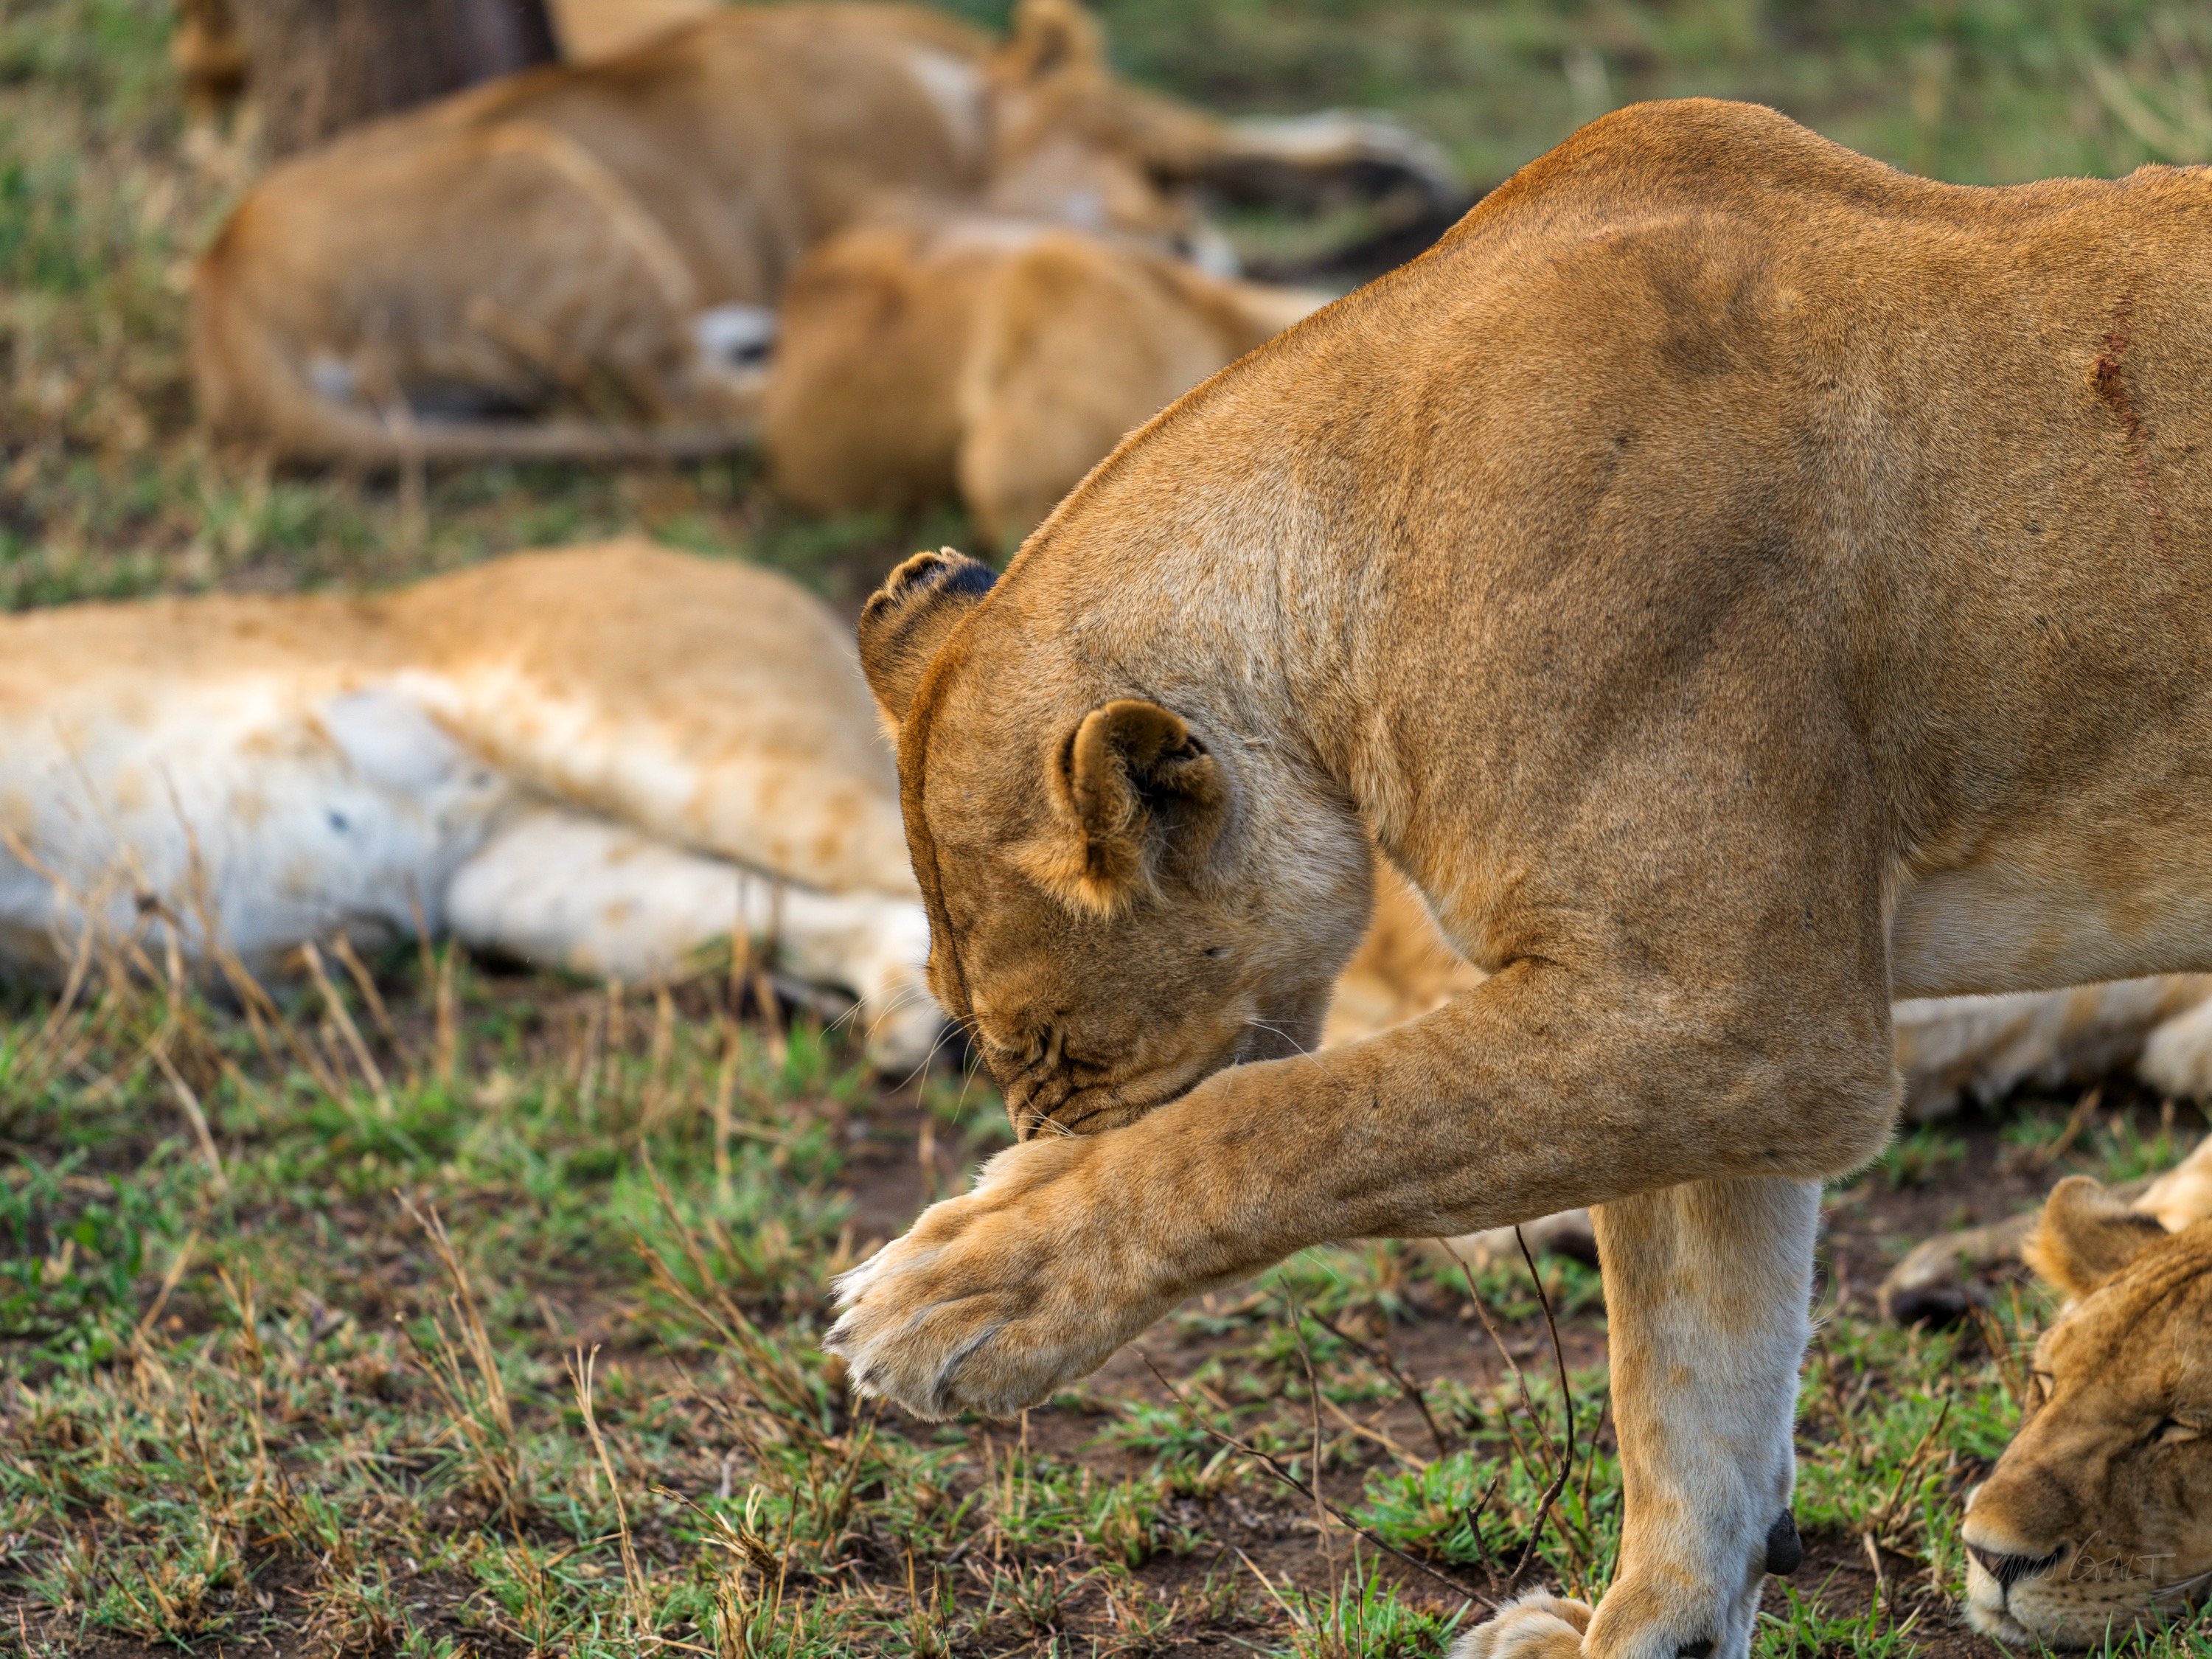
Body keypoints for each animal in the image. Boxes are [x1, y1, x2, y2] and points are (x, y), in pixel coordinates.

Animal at [191, 0, 1456, 462]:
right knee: (694, 404)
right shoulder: (892, 202)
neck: (959, 112)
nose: (1201, 233)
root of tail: (223, 283)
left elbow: (1185, 122)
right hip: (542, 176)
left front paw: (1376, 170)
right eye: (1134, 183)